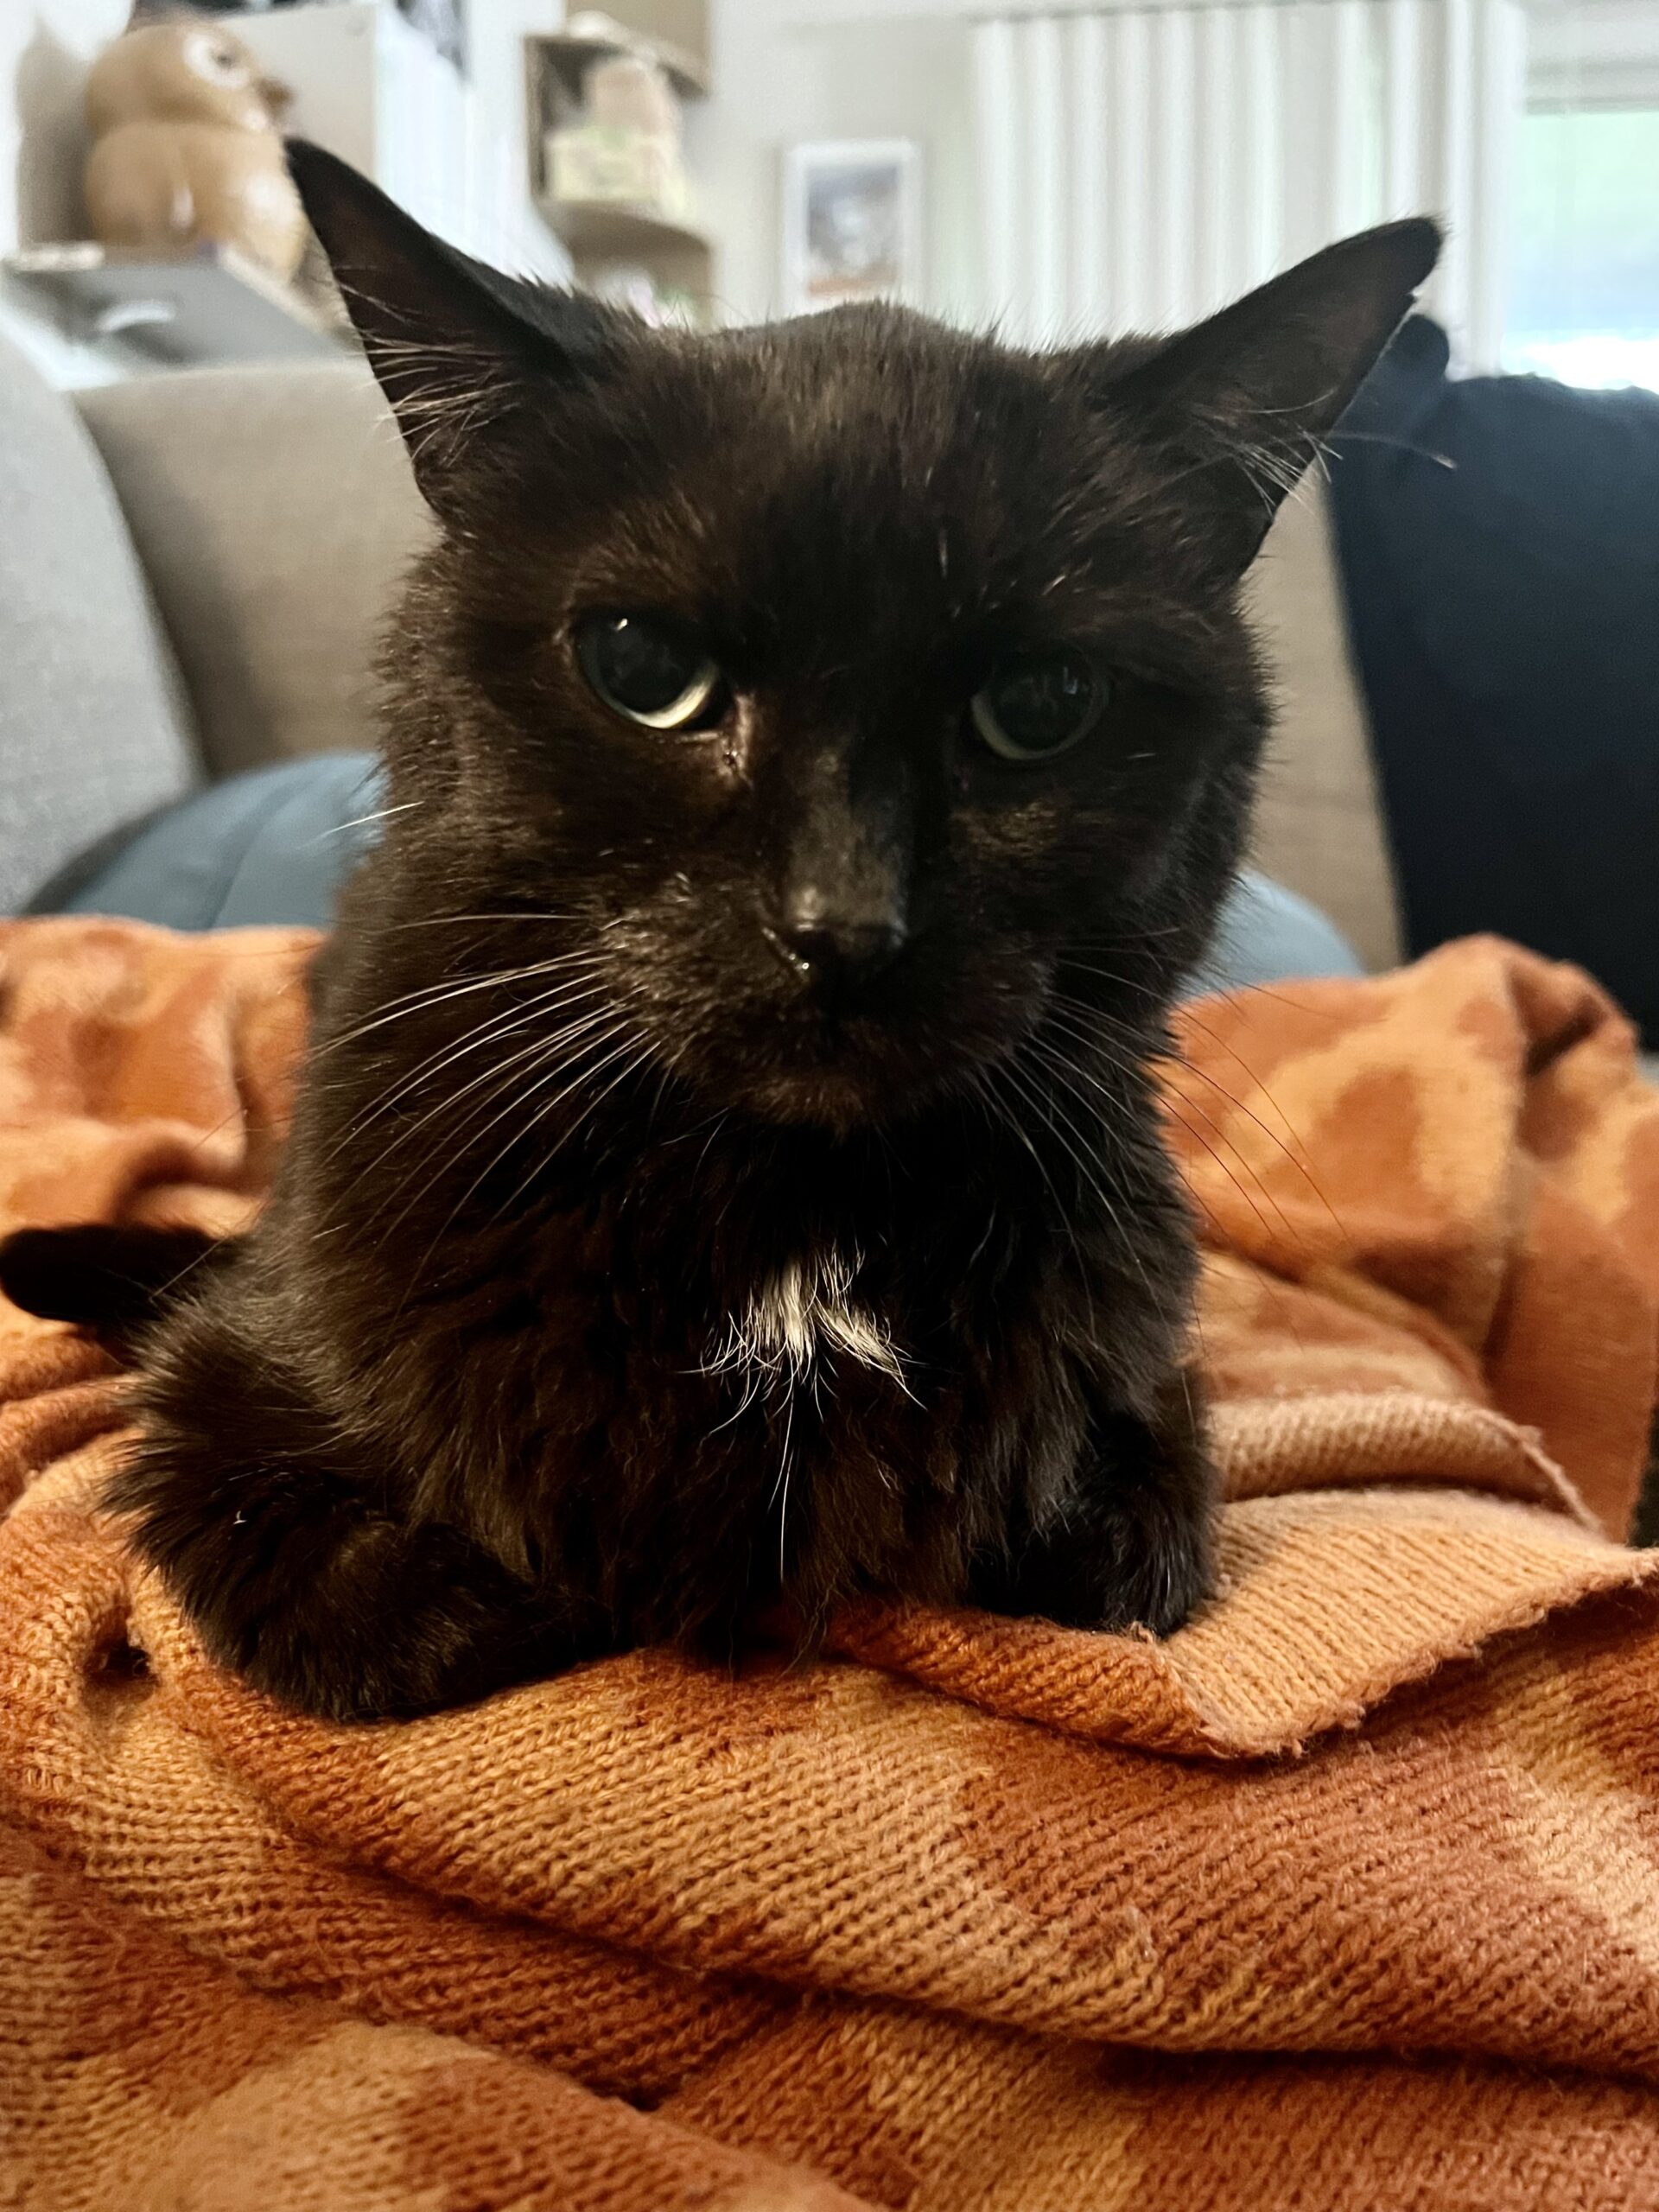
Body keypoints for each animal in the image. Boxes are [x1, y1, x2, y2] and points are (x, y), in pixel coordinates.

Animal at [0, 147, 1433, 1716]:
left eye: (1043, 705)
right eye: (644, 670)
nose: (844, 924)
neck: (793, 1226)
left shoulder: (1138, 1380)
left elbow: (1129, 1544)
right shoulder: (228, 1387)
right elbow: (422, 1612)